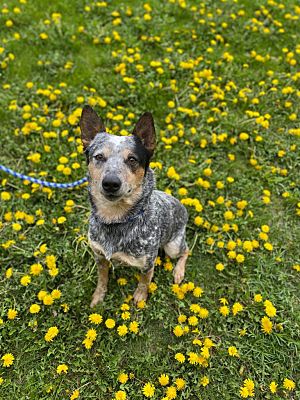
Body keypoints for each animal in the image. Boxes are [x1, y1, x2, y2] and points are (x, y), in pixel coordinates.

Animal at [78, 104, 189, 306]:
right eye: (99, 157)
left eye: (132, 159)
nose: (111, 183)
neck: (115, 219)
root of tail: (182, 207)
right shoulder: (99, 256)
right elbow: (102, 279)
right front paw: (98, 296)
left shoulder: (147, 263)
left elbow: (144, 281)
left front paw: (140, 297)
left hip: (173, 246)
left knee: (186, 250)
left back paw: (178, 272)